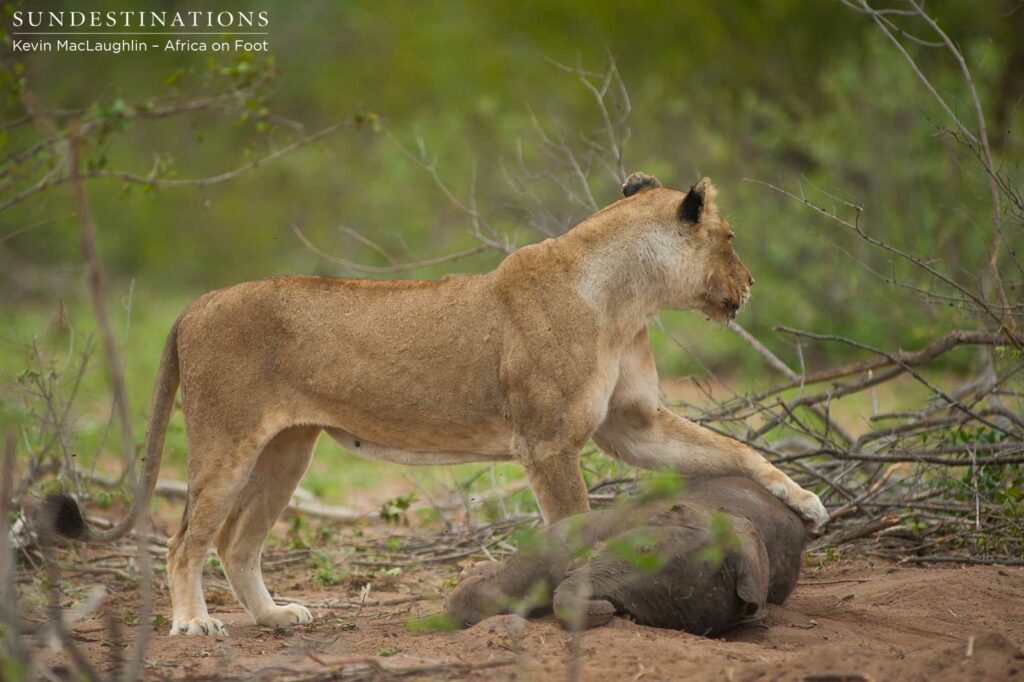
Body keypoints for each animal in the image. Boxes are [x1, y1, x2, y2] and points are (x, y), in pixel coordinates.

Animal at [46, 172, 827, 637]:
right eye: (730, 239)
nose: (751, 283)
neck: (629, 299)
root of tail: (196, 303)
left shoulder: (627, 424)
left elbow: (735, 449)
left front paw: (805, 498)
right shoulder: (548, 440)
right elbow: (571, 525)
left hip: (287, 449)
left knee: (238, 542)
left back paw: (277, 616)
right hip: (226, 440)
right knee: (186, 539)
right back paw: (191, 624)